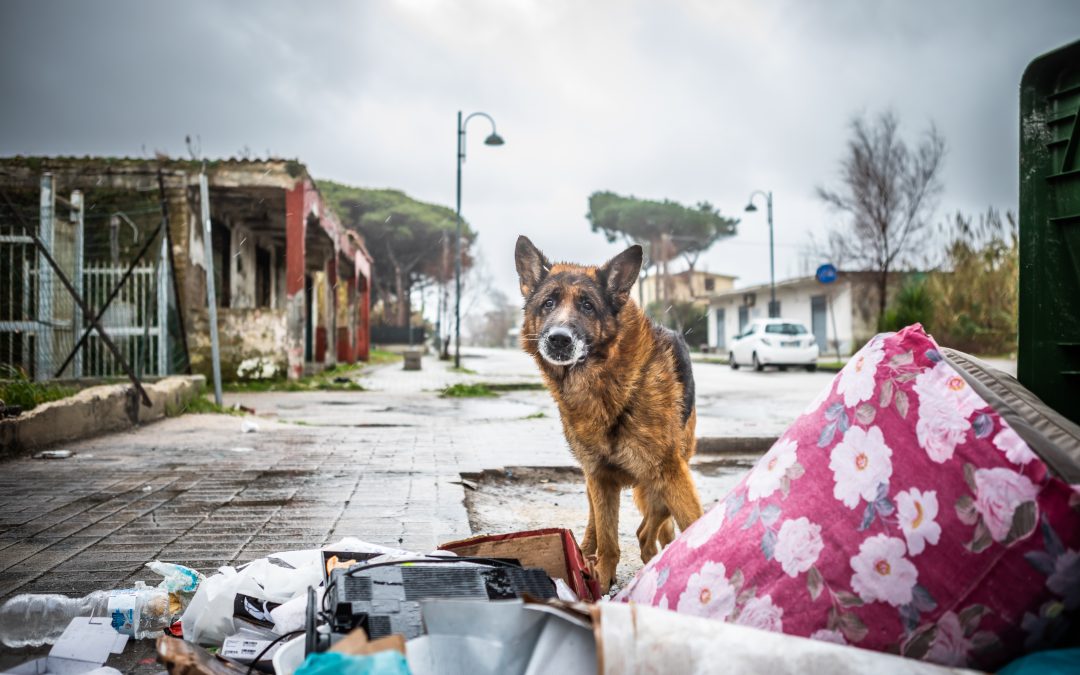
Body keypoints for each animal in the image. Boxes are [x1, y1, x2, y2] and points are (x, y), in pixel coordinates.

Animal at [511, 235, 699, 587]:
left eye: (588, 305)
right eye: (548, 303)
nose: (558, 340)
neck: (602, 385)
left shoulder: (669, 472)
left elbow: (695, 522)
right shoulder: (599, 478)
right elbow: (608, 540)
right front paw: (600, 579)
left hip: (661, 481)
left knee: (647, 531)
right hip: (600, 485)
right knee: (606, 527)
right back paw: (586, 554)